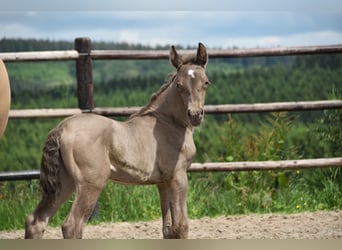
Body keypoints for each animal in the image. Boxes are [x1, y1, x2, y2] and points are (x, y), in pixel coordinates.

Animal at [24, 42, 208, 238]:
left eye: (206, 82)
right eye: (179, 85)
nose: (195, 115)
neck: (169, 122)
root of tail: (61, 128)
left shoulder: (162, 183)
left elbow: (168, 229)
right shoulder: (177, 176)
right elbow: (181, 226)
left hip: (64, 182)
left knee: (36, 221)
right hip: (91, 182)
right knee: (71, 225)